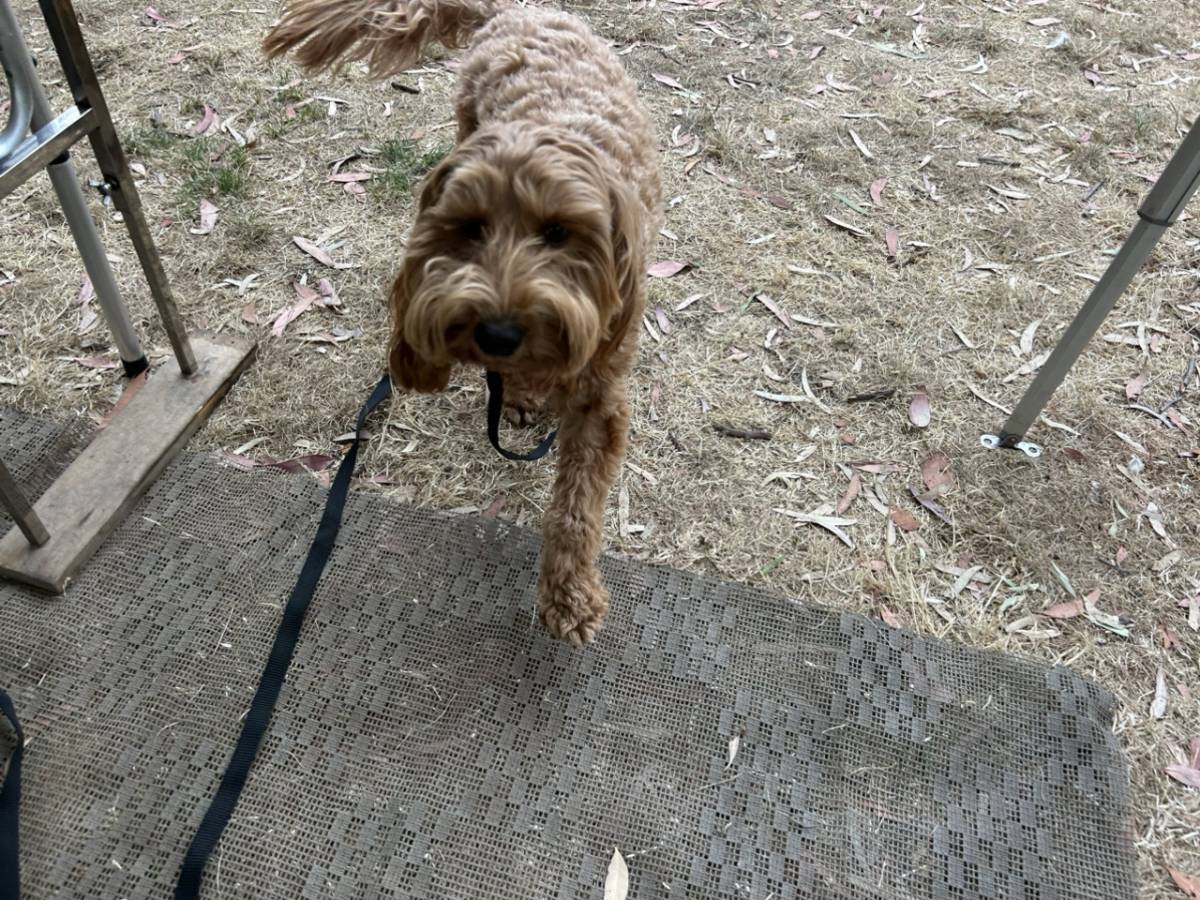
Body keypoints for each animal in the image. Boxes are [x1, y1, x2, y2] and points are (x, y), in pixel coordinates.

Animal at [264, 0, 661, 645]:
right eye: (470, 228)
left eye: (558, 231)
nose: (497, 335)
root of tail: (519, 10)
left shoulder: (601, 390)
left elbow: (576, 508)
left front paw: (569, 595)